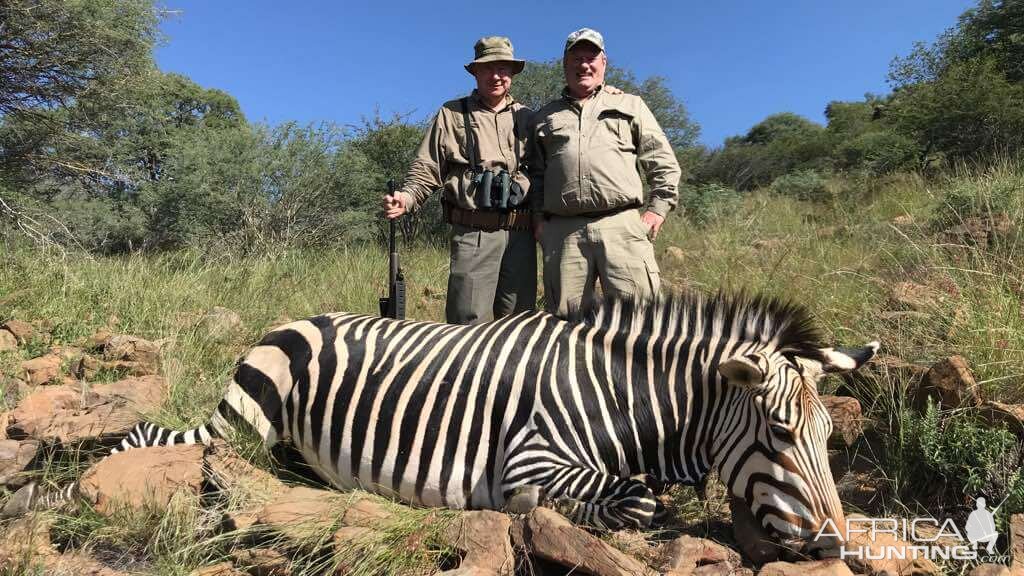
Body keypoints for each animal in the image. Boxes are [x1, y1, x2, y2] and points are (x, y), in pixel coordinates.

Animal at [6, 291, 872, 545]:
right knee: (170, 444)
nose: (834, 542)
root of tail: (299, 318)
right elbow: (633, 499)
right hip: (249, 415)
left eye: (829, 438)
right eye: (781, 435)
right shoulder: (530, 460)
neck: (616, 395)